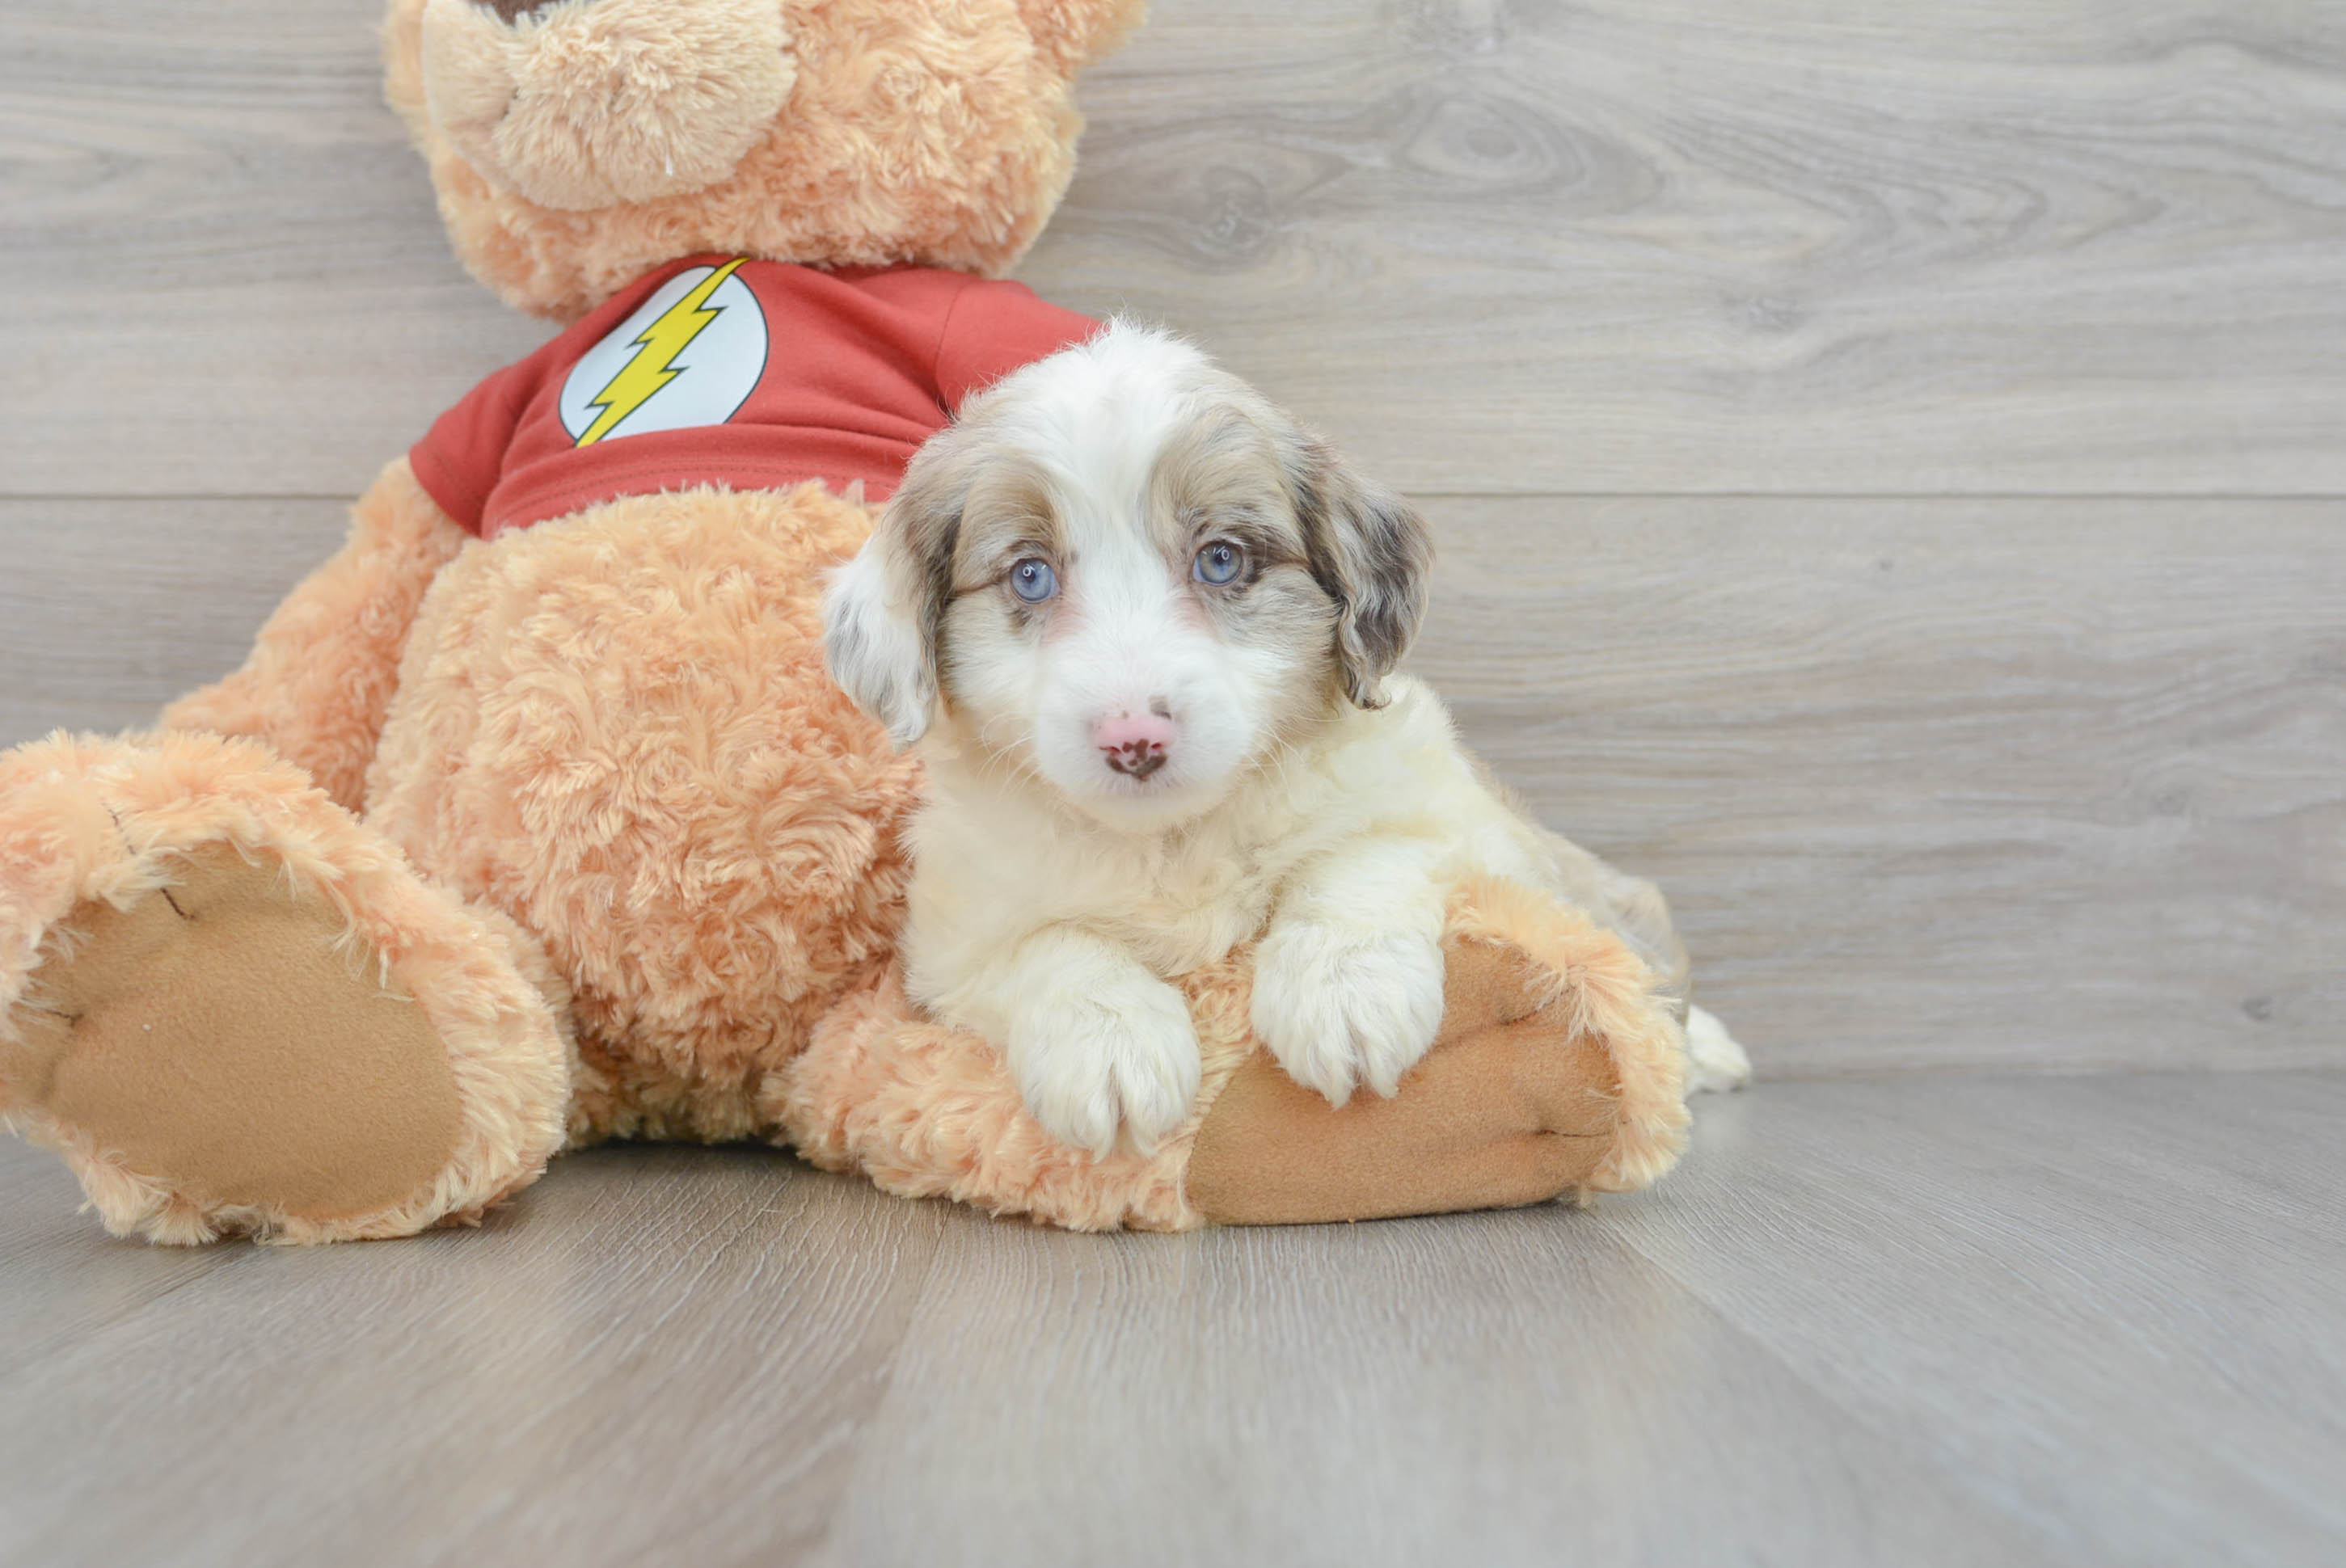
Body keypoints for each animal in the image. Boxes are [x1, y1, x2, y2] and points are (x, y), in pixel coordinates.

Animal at [825, 323, 1745, 1157]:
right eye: (1029, 574)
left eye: (1221, 559)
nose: (1133, 738)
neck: (1172, 843)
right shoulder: (950, 941)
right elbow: (1042, 947)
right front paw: (1113, 1048)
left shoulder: (1458, 819)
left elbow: (1362, 851)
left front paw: (1345, 994)